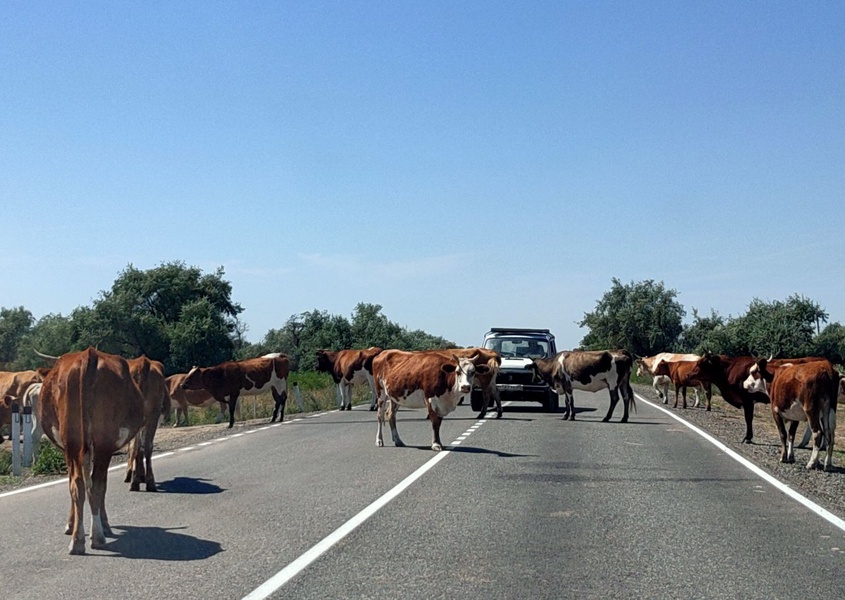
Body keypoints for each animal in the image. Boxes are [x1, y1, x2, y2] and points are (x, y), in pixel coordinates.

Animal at [36, 350, 147, 556]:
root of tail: (88, 355)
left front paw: (72, 524)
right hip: (101, 444)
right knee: (94, 484)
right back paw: (96, 535)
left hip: (74, 442)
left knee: (78, 484)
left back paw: (79, 540)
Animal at [123, 356, 171, 492]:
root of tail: (142, 362)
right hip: (152, 416)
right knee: (146, 446)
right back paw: (147, 481)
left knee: (139, 447)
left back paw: (137, 481)